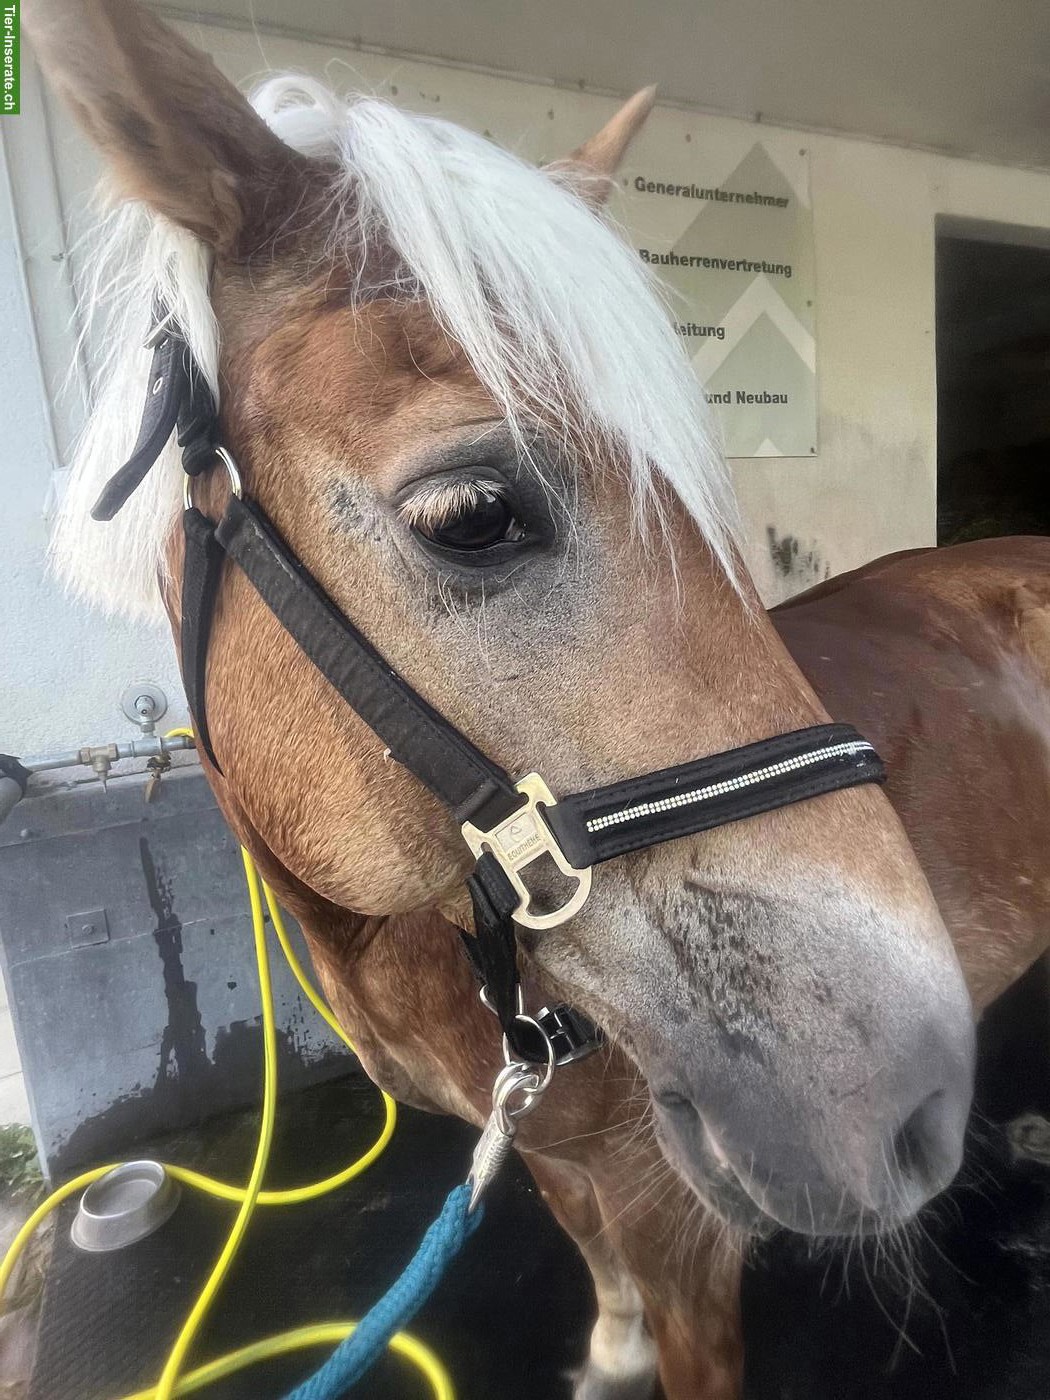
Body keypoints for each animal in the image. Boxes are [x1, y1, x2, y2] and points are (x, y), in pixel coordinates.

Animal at [26, 1, 1044, 1395]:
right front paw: (606, 1349)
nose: (909, 1093)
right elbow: (583, 1247)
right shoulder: (551, 1154)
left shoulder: (682, 1222)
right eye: (472, 514)